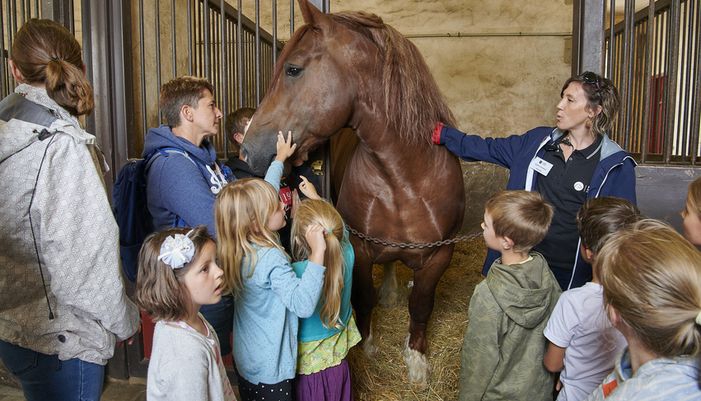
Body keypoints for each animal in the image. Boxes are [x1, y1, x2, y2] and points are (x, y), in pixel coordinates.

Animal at [241, 0, 464, 384]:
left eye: (293, 69)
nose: (247, 150)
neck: (407, 177)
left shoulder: (440, 255)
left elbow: (421, 304)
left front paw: (417, 361)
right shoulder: (359, 247)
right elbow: (363, 297)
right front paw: (368, 346)